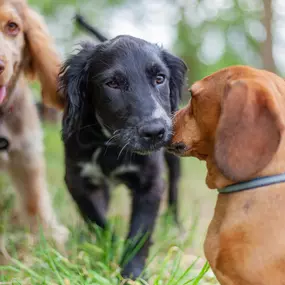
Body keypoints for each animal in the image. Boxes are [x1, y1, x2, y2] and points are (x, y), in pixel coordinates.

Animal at [58, 34, 185, 276]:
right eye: (112, 84)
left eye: (160, 78)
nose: (155, 131)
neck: (113, 145)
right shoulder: (76, 179)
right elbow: (97, 219)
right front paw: (109, 247)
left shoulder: (150, 183)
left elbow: (139, 232)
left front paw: (133, 274)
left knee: (175, 185)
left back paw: (176, 226)